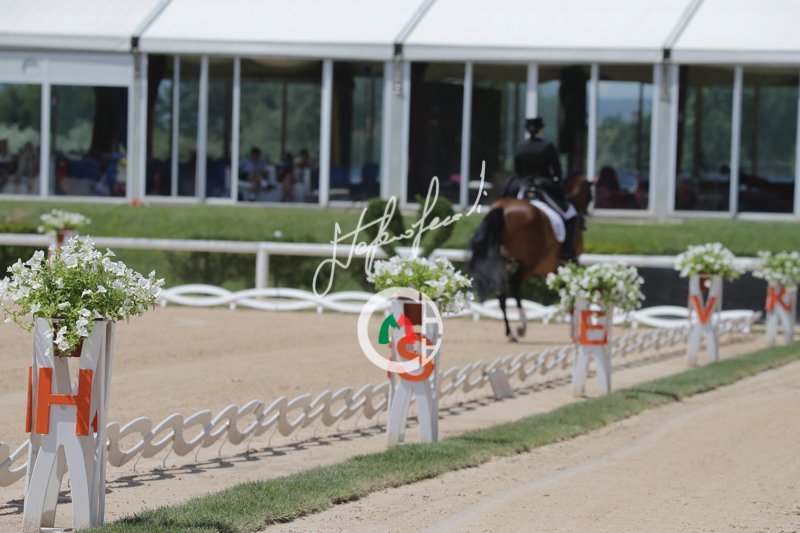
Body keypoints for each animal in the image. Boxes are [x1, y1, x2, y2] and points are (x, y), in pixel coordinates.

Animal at [468, 175, 592, 341]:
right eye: (590, 196)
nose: (584, 222)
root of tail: (502, 209)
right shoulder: (566, 265)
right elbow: (571, 291)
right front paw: (574, 331)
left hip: (505, 262)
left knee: (501, 291)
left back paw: (511, 332)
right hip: (529, 263)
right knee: (515, 284)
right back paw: (522, 326)